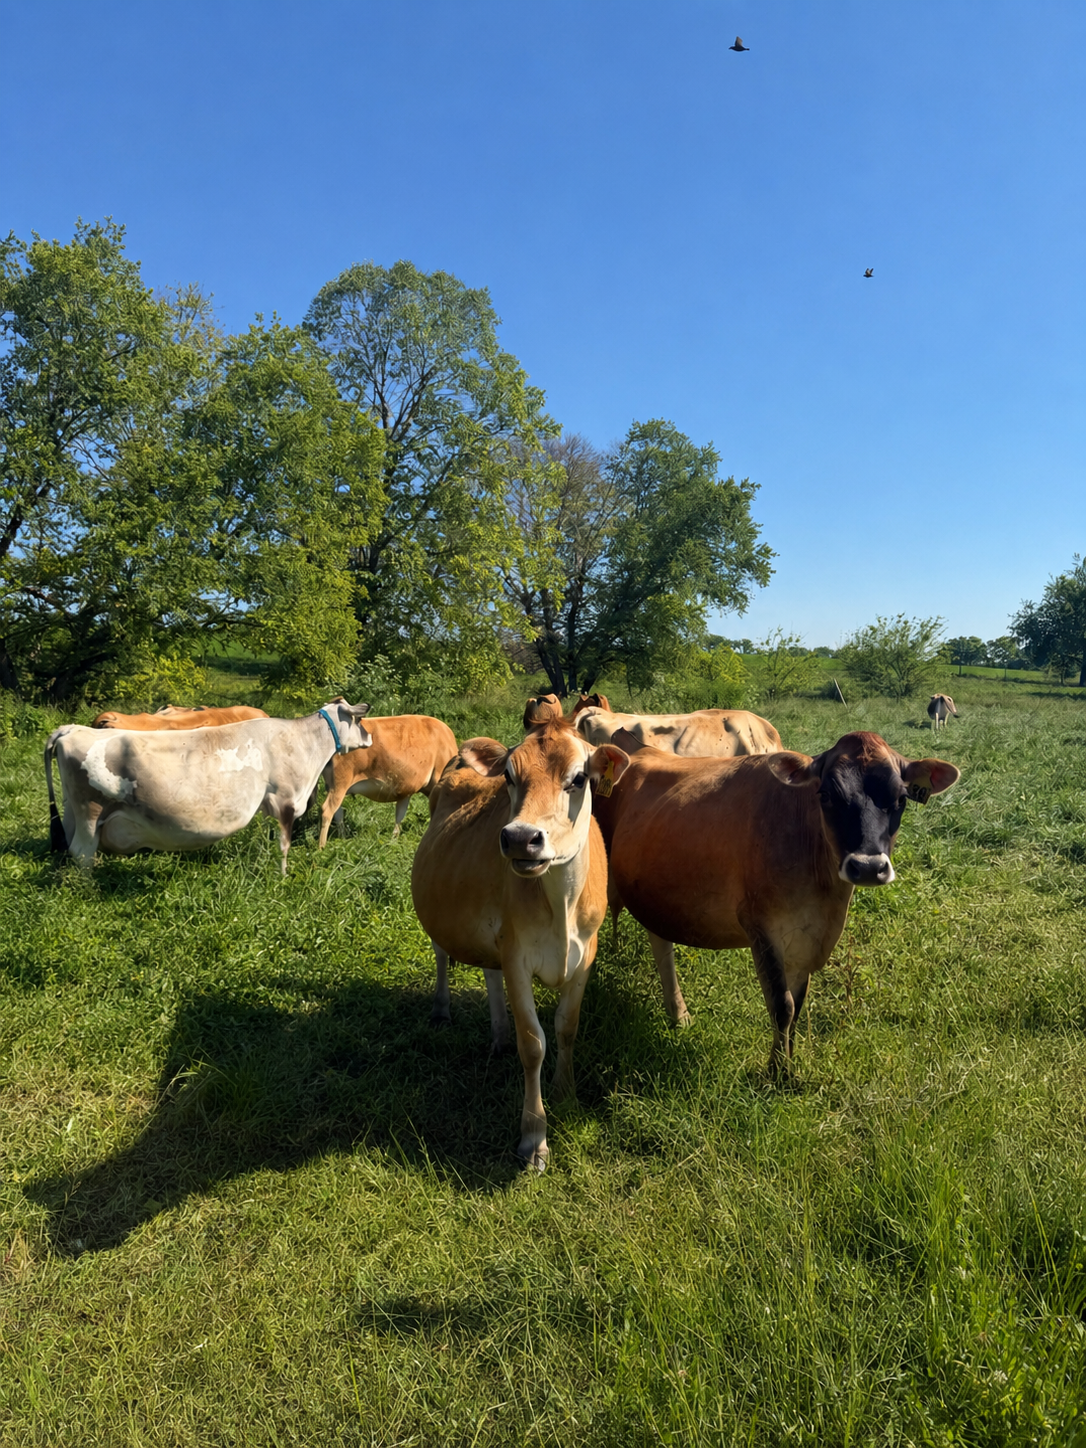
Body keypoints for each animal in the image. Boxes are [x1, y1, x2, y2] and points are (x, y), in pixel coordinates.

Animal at [45, 701, 372, 873]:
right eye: (359, 721)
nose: (370, 738)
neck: (303, 741)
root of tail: (71, 728)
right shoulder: (286, 800)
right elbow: (284, 844)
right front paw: (283, 874)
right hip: (91, 811)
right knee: (81, 853)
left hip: (75, 811)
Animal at [316, 714, 458, 845]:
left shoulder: (406, 790)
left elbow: (400, 816)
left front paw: (393, 841)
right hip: (341, 782)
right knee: (327, 810)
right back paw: (322, 847)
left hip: (332, 785)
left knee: (338, 812)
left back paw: (342, 839)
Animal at [412, 718, 630, 1171]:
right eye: (510, 777)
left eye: (579, 778)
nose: (519, 837)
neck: (561, 903)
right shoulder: (516, 954)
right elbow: (532, 1043)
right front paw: (534, 1138)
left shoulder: (586, 955)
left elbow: (567, 1026)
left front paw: (566, 1091)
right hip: (441, 911)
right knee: (442, 954)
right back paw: (442, 1009)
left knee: (488, 972)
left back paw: (498, 1035)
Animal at [593, 729, 959, 1074]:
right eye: (826, 795)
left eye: (900, 798)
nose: (868, 866)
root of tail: (634, 745)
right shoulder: (761, 927)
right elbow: (781, 1006)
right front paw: (777, 1073)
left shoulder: (806, 937)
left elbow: (797, 1005)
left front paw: (789, 1063)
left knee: (660, 940)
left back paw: (678, 1014)